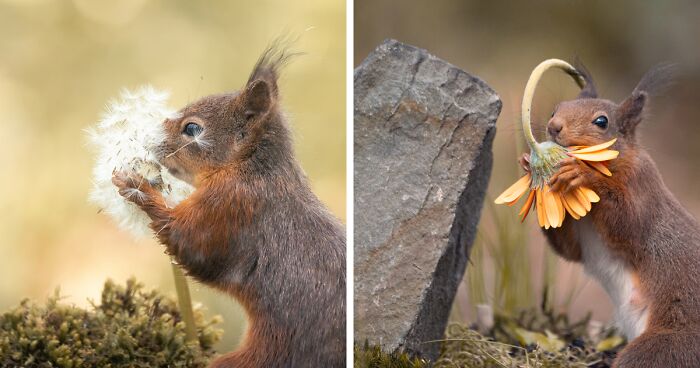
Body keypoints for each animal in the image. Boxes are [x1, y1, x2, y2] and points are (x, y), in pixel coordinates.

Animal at [110, 44, 348, 366]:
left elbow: (190, 244)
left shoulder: (229, 208)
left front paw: (137, 187)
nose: (149, 136)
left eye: (192, 128)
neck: (251, 169)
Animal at [520, 64, 700, 368]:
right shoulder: (579, 234)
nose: (554, 127)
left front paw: (585, 176)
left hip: (665, 349)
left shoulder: (644, 190)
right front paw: (527, 168)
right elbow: (568, 249)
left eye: (601, 122)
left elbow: (628, 226)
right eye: (557, 108)